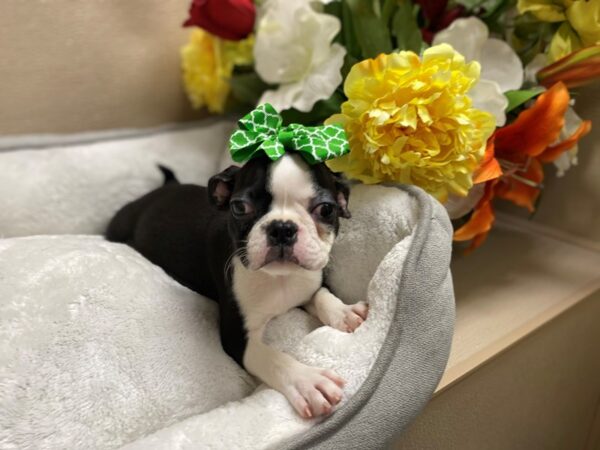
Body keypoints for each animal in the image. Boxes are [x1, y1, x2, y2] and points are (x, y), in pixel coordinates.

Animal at [107, 154, 368, 418]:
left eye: (326, 209)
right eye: (240, 207)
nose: (282, 228)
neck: (280, 279)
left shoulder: (309, 282)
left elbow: (321, 293)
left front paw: (343, 312)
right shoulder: (237, 338)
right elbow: (273, 358)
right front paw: (308, 381)